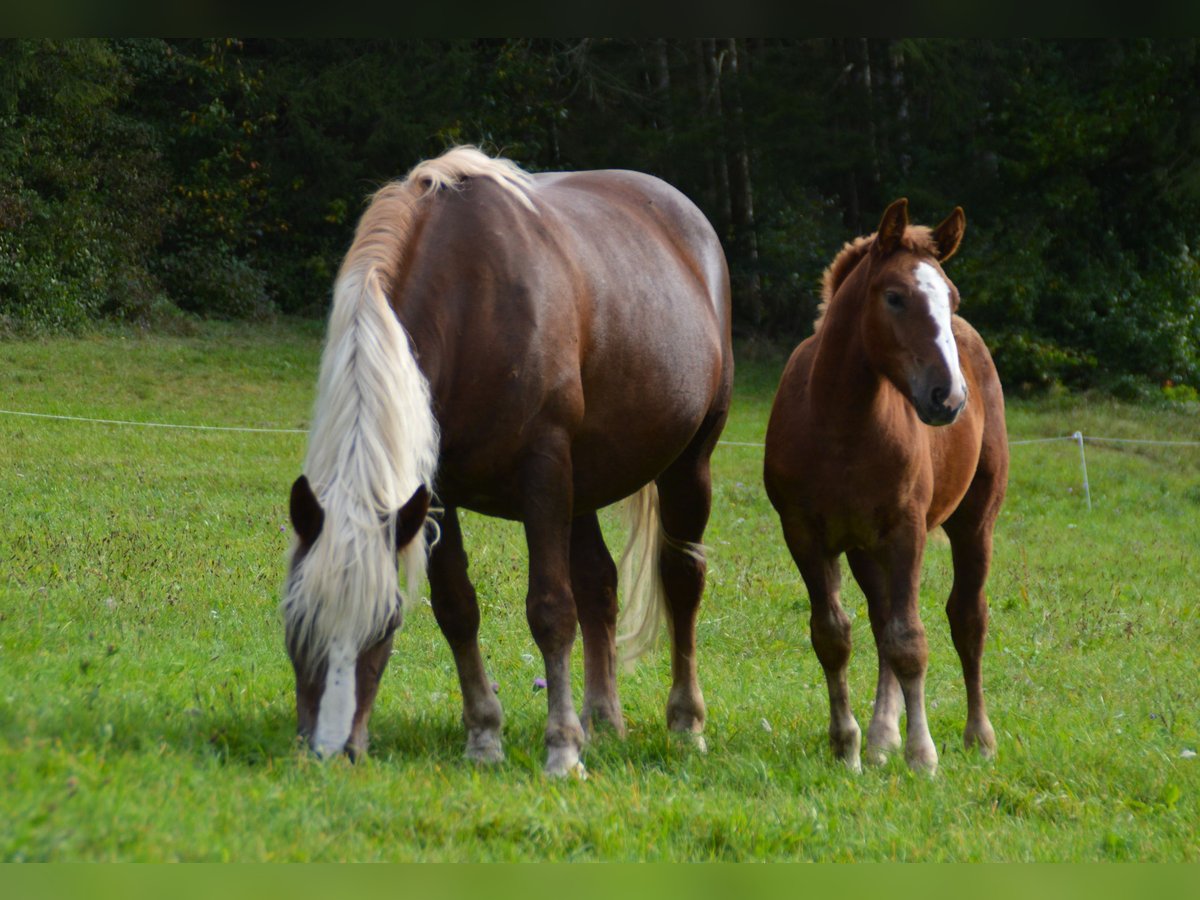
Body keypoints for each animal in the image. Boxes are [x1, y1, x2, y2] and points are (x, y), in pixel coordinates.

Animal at [283, 146, 729, 777]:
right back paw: (602, 720)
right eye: (296, 621)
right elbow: (457, 608)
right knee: (600, 585)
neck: (470, 301)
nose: (327, 751)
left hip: (686, 465)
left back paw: (685, 723)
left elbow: (550, 609)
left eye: (386, 623)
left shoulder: (543, 473)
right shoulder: (435, 494)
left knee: (682, 580)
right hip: (583, 486)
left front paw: (562, 749)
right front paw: (484, 736)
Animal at [763, 196, 1008, 777]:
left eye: (951, 296)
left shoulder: (906, 532)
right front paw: (847, 746)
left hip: (975, 522)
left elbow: (910, 640)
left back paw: (979, 736)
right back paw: (879, 738)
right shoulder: (804, 536)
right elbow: (834, 635)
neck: (840, 426)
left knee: (967, 617)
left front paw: (923, 755)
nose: (949, 397)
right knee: (880, 623)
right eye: (895, 297)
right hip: (863, 549)